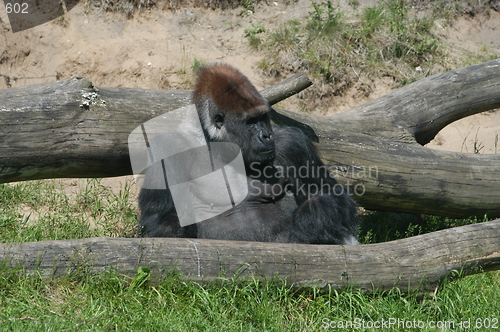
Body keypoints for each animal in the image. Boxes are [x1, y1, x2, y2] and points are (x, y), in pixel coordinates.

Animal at [136, 63, 360, 244]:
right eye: (251, 122)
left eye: (263, 117)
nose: (266, 136)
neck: (219, 145)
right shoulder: (169, 148)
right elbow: (162, 218)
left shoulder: (292, 144)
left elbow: (328, 193)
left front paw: (309, 220)